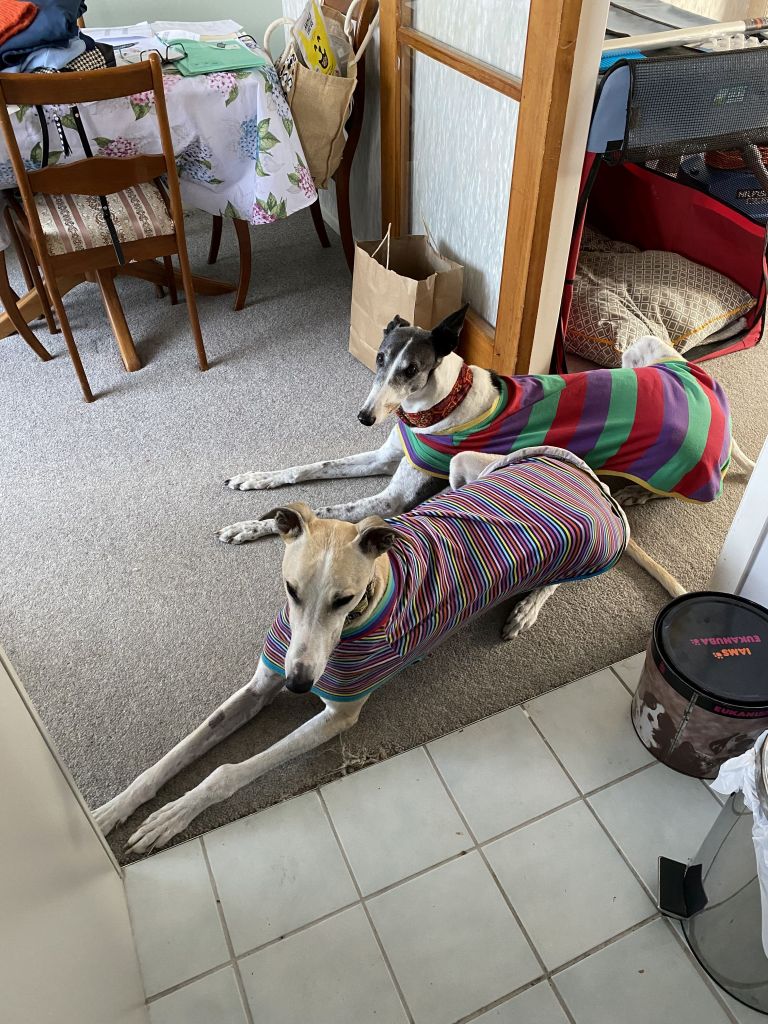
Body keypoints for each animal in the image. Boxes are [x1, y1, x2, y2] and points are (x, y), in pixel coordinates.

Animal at [96, 446, 629, 852]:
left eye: (344, 600)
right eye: (290, 589)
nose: (299, 684)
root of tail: (584, 480)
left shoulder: (338, 714)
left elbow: (227, 770)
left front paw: (174, 814)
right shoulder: (262, 681)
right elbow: (176, 754)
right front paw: (110, 811)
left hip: (591, 549)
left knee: (561, 579)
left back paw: (526, 608)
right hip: (469, 463)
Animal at [216, 309, 753, 635]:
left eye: (412, 370)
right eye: (380, 358)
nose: (366, 417)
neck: (439, 405)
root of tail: (718, 409)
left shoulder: (393, 497)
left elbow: (326, 510)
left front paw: (248, 526)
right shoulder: (388, 457)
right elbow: (310, 468)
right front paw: (253, 482)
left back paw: (532, 603)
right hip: (645, 348)